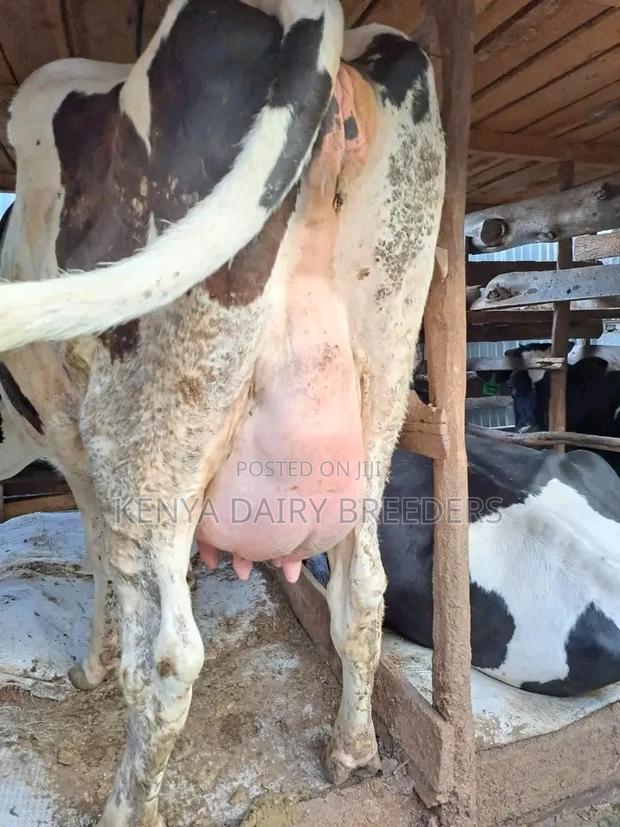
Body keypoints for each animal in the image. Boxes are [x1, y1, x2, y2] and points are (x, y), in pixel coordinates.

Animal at [0, 1, 445, 824]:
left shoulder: (73, 446)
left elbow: (95, 556)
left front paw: (89, 667)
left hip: (145, 427)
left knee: (169, 660)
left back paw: (127, 807)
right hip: (384, 381)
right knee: (363, 591)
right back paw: (352, 749)